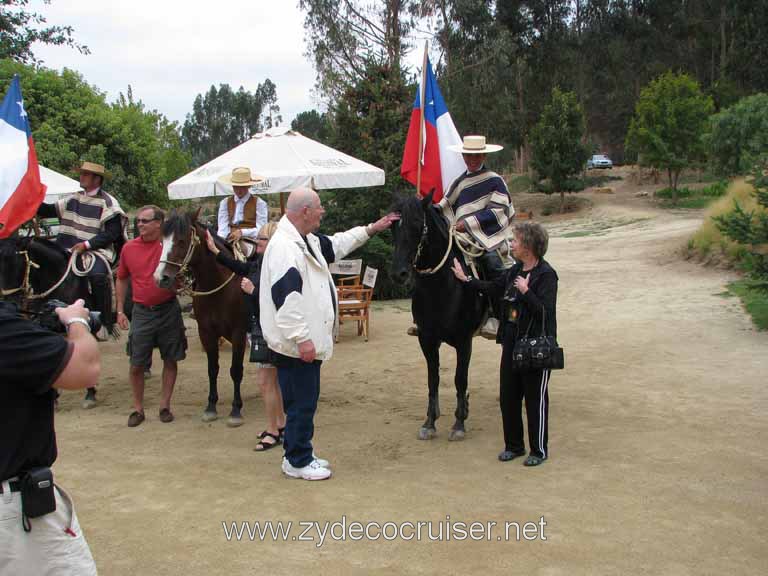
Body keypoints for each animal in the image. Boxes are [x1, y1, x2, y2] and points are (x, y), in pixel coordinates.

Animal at [155, 209, 249, 426]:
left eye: (181, 241)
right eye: (162, 240)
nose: (161, 278)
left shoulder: (239, 333)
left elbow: (236, 370)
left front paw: (235, 410)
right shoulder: (206, 332)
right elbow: (212, 368)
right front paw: (211, 407)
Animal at [392, 191, 484, 438]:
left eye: (417, 225)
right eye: (392, 226)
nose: (398, 274)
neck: (441, 287)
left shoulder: (464, 341)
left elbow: (460, 379)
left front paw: (459, 423)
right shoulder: (427, 339)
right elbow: (433, 379)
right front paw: (430, 422)